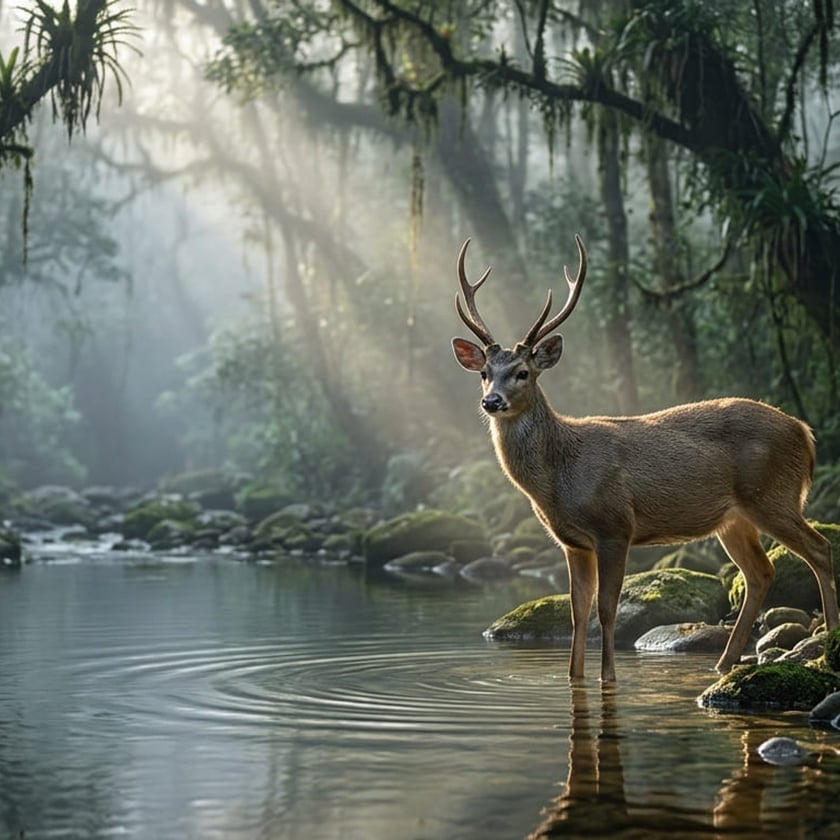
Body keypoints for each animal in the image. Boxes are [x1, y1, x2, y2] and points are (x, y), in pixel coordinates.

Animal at [451, 235, 839, 682]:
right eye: (484, 373)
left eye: (523, 372)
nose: (492, 401)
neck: (560, 476)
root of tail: (805, 434)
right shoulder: (572, 542)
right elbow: (578, 613)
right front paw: (573, 677)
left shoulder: (615, 526)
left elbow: (606, 609)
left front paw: (610, 678)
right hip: (735, 517)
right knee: (761, 572)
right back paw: (724, 663)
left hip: (773, 495)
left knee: (819, 548)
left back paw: (827, 645)